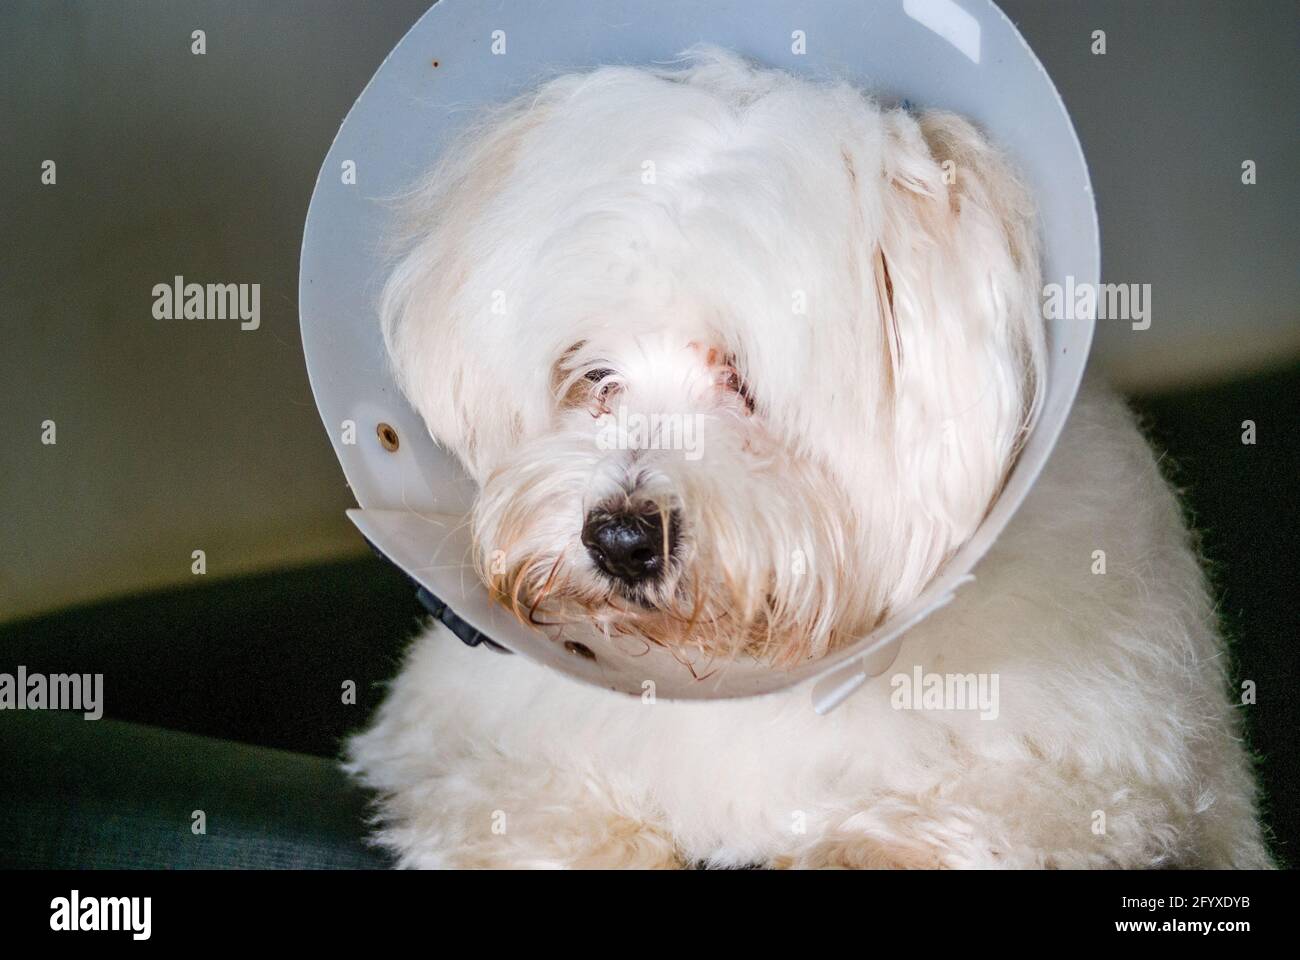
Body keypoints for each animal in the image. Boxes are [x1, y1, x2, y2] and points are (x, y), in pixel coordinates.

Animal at [345, 48, 1268, 863]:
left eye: (744, 379)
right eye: (591, 373)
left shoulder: (1112, 790)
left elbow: (967, 823)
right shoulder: (453, 741)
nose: (620, 539)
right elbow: (518, 803)